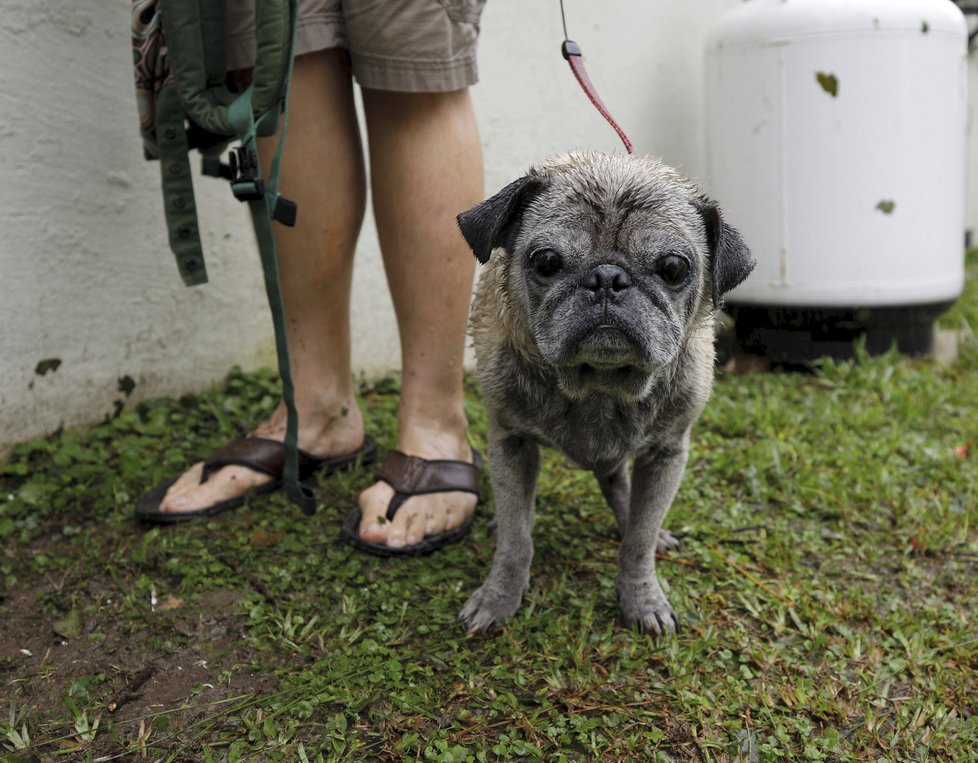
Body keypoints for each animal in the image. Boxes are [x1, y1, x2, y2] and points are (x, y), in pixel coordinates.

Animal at [454, 152, 752, 636]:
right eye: (546, 261)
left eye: (673, 268)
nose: (607, 277)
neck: (599, 385)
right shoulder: (511, 443)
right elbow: (517, 540)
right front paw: (500, 595)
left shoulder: (667, 454)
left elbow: (639, 541)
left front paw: (641, 596)